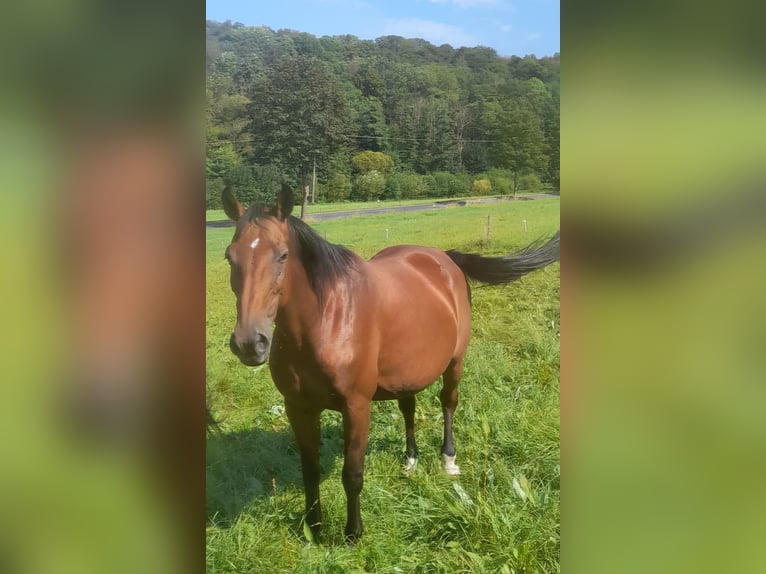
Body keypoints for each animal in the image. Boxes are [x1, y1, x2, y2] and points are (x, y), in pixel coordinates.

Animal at [220, 186, 560, 544]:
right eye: (230, 257)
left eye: (283, 255)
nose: (249, 343)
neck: (326, 320)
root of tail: (444, 258)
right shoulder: (298, 407)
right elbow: (309, 472)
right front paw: (314, 529)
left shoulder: (356, 407)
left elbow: (352, 474)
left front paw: (353, 534)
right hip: (406, 374)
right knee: (409, 409)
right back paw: (410, 460)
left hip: (455, 363)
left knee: (448, 403)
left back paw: (448, 459)